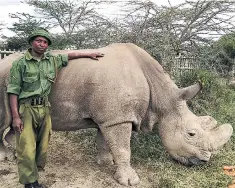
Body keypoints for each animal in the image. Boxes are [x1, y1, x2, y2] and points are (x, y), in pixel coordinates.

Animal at [0, 43, 232, 186]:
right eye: (191, 134)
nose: (204, 161)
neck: (162, 98)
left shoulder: (111, 117)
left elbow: (105, 142)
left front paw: (105, 163)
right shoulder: (118, 119)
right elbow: (123, 149)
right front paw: (130, 181)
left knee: (14, 124)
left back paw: (15, 155)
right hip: (4, 79)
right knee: (4, 120)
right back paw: (6, 158)